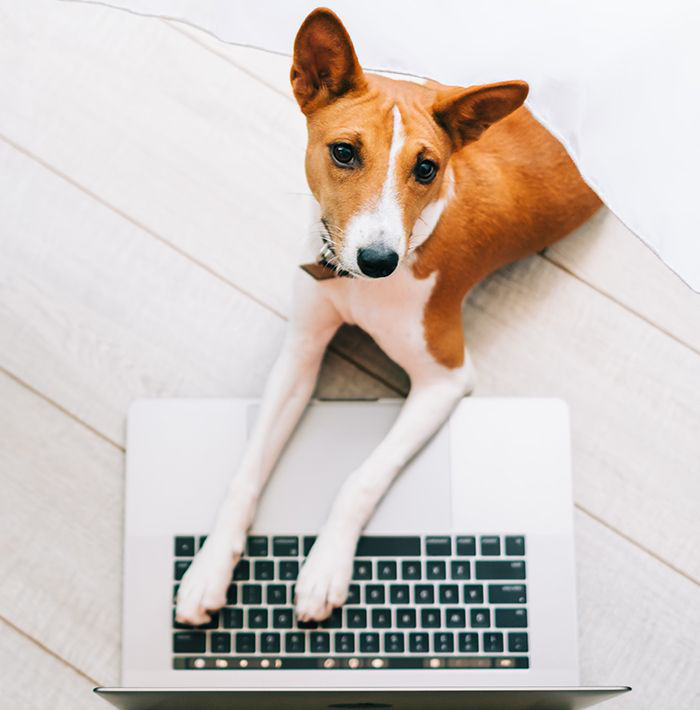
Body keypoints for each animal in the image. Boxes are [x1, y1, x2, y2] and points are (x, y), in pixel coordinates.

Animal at [174, 8, 596, 624]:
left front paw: (324, 568)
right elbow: (247, 471)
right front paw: (207, 569)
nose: (378, 262)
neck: (357, 287)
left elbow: (362, 480)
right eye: (344, 153)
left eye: (427, 168)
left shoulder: (445, 379)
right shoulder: (300, 353)